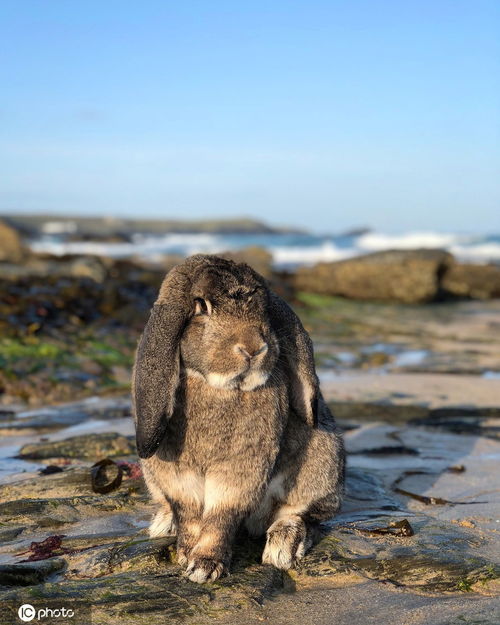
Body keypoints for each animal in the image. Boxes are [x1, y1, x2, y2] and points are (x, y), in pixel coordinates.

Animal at [132, 251, 344, 584]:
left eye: (263, 310)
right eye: (201, 307)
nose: (254, 349)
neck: (220, 386)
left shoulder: (240, 470)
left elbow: (221, 516)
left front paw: (205, 566)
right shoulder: (176, 474)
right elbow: (188, 514)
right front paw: (186, 554)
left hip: (321, 468)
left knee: (305, 515)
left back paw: (282, 548)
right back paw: (163, 524)